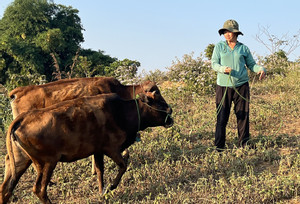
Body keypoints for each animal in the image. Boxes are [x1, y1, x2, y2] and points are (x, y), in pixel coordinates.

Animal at [0, 91, 173, 203]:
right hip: (47, 163)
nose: (170, 112)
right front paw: (111, 187)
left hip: (21, 162)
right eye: (158, 102)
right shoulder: (111, 149)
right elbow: (123, 165)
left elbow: (100, 171)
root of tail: (22, 118)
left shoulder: (98, 151)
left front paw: (102, 192)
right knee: (39, 190)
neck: (121, 112)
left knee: (5, 189)